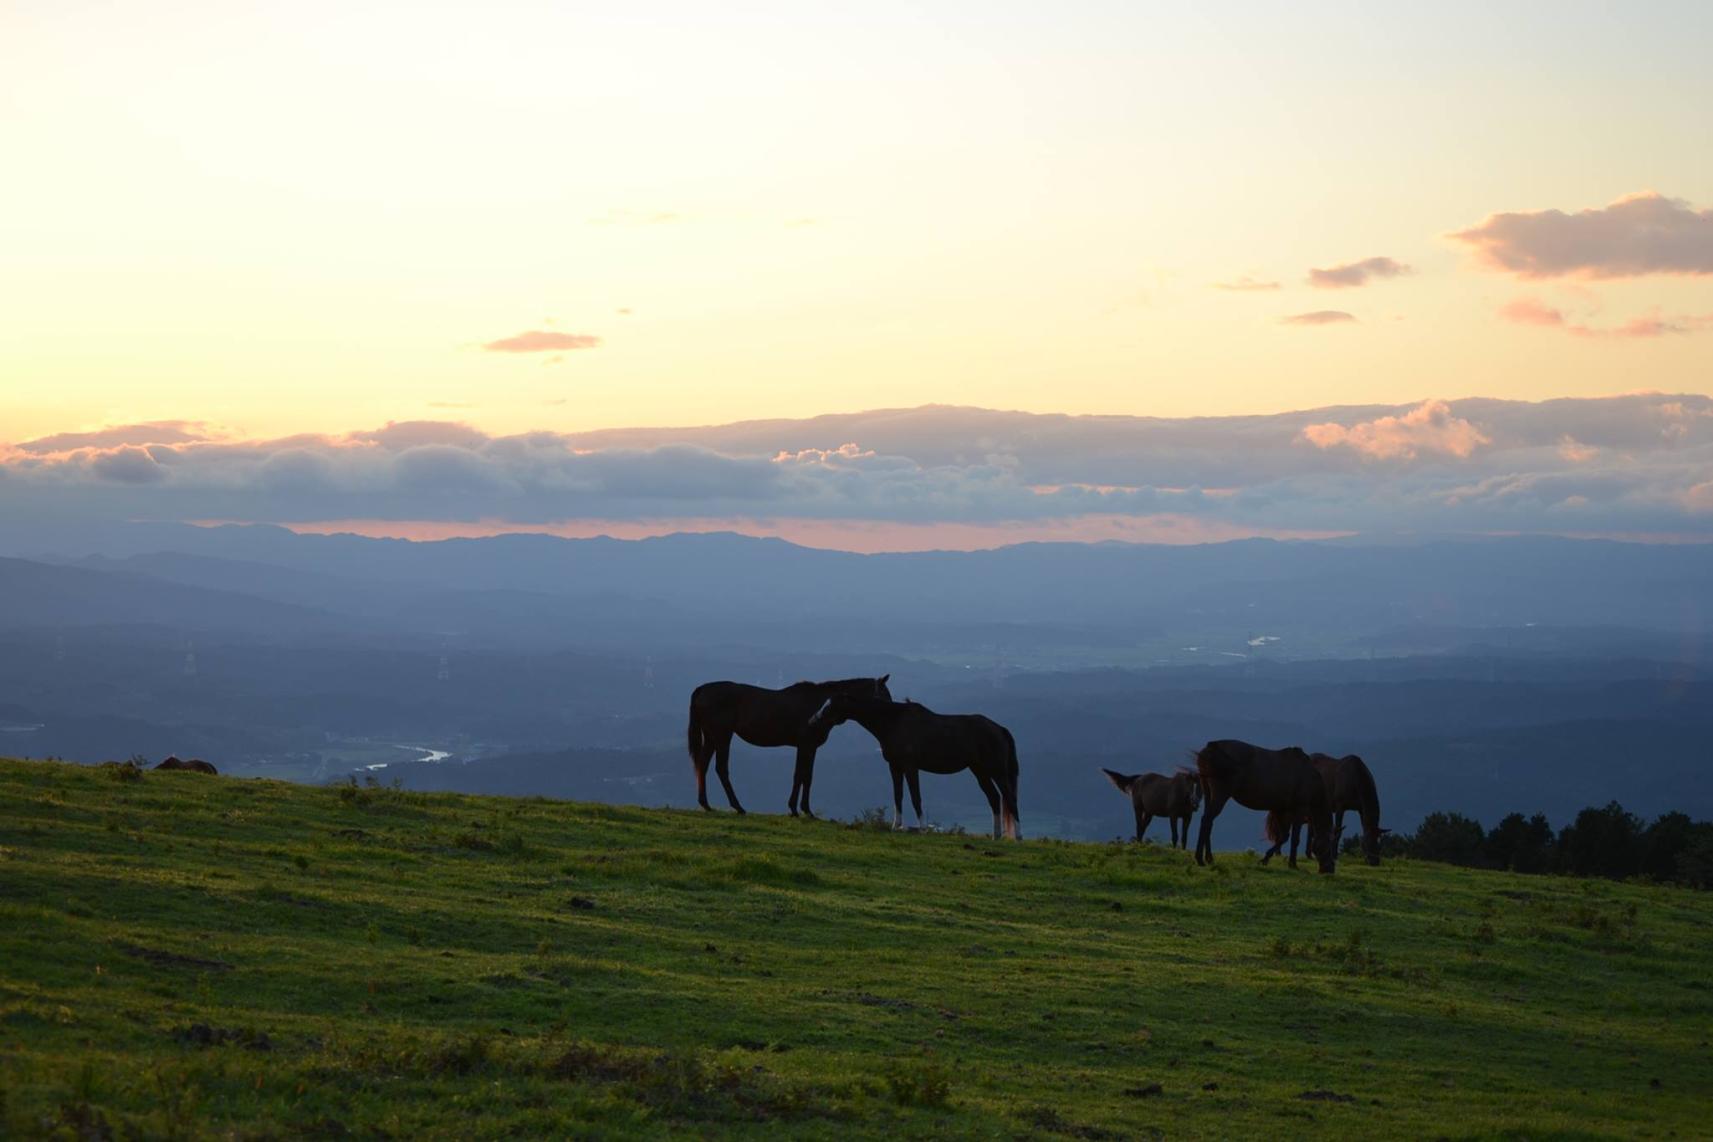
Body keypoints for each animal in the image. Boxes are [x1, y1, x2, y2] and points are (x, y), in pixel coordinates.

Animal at [685, 674, 897, 818]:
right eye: (884, 694)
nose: (892, 712)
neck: (821, 706)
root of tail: (702, 689)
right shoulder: (805, 745)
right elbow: (801, 775)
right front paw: (799, 809)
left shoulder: (809, 747)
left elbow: (805, 776)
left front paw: (802, 809)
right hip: (722, 735)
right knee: (721, 768)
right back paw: (738, 806)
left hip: (711, 736)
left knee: (702, 764)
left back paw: (705, 804)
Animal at [801, 691, 1014, 845]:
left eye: (830, 706)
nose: (812, 721)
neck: (893, 722)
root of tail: (999, 729)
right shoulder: (894, 767)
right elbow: (898, 796)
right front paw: (896, 826)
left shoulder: (911, 767)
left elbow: (915, 797)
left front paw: (923, 829)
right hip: (979, 771)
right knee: (994, 798)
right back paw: (996, 836)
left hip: (997, 771)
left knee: (1008, 798)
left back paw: (1016, 836)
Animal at [1192, 743, 1336, 876]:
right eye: (1328, 847)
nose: (1330, 869)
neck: (1310, 778)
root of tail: (1210, 747)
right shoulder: (1299, 809)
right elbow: (1294, 839)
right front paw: (1293, 864)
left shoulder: (1280, 810)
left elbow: (1283, 837)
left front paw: (1265, 859)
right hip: (1220, 794)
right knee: (1207, 820)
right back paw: (1200, 859)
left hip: (1208, 792)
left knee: (1208, 822)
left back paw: (1209, 858)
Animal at [1260, 753, 1390, 869]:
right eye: (1367, 842)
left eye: (1379, 843)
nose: (1374, 862)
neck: (1355, 778)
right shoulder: (1340, 806)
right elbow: (1338, 830)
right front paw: (1335, 855)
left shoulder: (1360, 808)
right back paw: (1279, 852)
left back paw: (1307, 854)